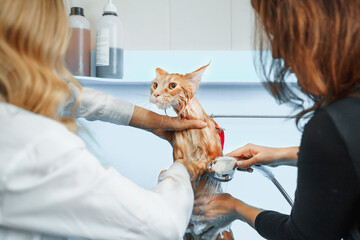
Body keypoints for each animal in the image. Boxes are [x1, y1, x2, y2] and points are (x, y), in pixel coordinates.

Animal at [149, 64, 233, 240]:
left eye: (172, 85)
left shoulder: (213, 155)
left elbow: (201, 164)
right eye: (155, 85)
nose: (155, 94)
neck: (191, 125)